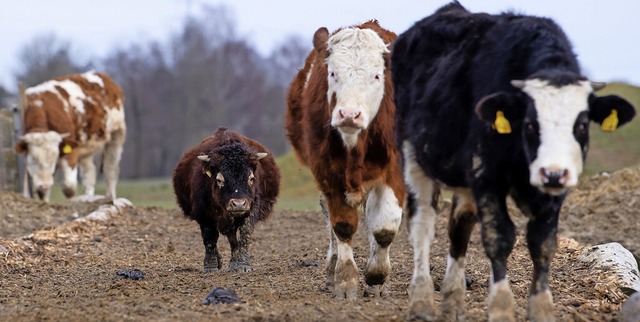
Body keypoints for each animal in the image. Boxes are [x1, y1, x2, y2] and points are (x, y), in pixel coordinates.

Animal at [15, 71, 125, 201]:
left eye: (54, 158)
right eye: (33, 158)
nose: (45, 185)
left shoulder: (72, 150)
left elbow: (69, 188)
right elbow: (43, 193)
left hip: (117, 134)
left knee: (110, 170)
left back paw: (110, 198)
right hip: (87, 146)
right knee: (89, 174)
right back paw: (88, 197)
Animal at [172, 127, 280, 272]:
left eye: (251, 178)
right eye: (219, 180)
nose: (238, 204)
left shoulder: (252, 207)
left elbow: (244, 233)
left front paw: (243, 264)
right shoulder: (204, 214)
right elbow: (210, 238)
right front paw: (211, 265)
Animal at [286, 20, 404, 300]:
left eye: (376, 76)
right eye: (332, 73)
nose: (349, 114)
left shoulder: (395, 169)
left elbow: (384, 228)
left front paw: (377, 275)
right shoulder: (327, 172)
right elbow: (342, 225)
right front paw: (345, 280)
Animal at [390, 2, 636, 322]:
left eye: (582, 124)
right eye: (530, 124)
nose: (553, 173)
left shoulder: (552, 193)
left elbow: (542, 243)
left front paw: (541, 310)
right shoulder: (486, 175)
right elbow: (500, 237)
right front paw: (501, 308)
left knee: (459, 228)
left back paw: (453, 299)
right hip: (413, 156)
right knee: (422, 225)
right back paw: (421, 300)